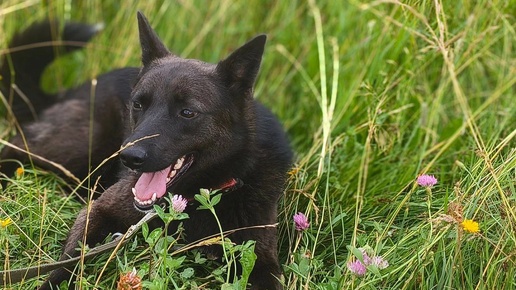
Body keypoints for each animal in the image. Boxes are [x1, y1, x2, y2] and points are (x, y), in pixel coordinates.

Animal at [0, 12, 292, 288]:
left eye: (187, 112)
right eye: (138, 104)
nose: (128, 158)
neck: (197, 196)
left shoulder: (261, 258)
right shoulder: (97, 211)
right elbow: (69, 263)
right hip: (81, 144)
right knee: (15, 149)